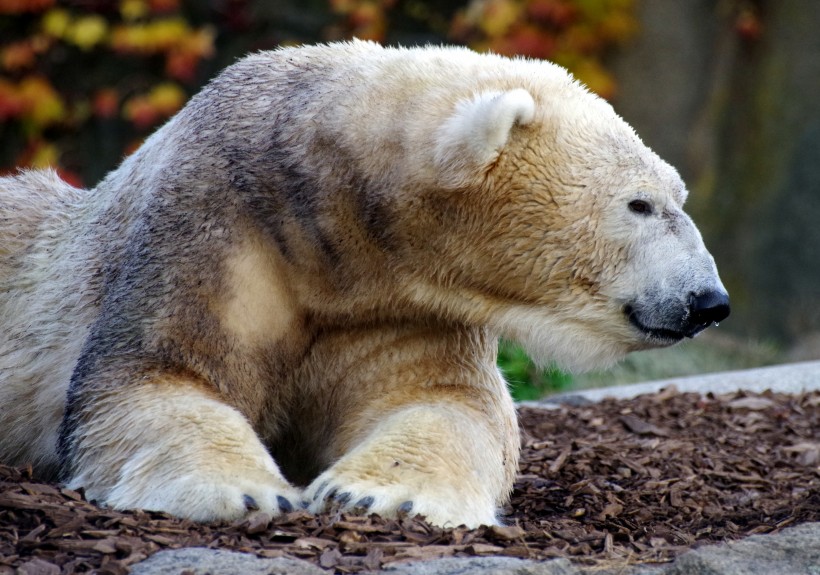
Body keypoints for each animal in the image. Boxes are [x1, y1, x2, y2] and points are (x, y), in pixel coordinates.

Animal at [0, 39, 732, 528]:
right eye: (641, 204)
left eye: (676, 196)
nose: (709, 301)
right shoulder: (207, 232)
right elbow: (151, 375)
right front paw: (251, 490)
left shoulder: (398, 300)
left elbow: (440, 400)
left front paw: (374, 493)